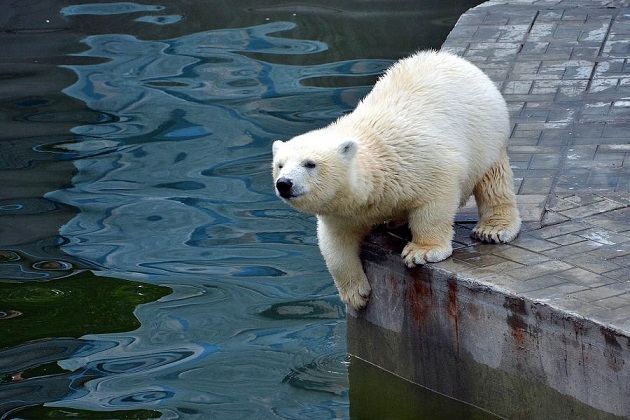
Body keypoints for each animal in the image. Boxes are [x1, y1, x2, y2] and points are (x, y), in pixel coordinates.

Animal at [272, 50, 524, 310]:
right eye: (280, 164)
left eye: (310, 163)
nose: (284, 183)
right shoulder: (342, 210)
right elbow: (335, 245)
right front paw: (355, 294)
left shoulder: (423, 162)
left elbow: (436, 200)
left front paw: (422, 251)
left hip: (485, 135)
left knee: (493, 182)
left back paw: (493, 229)